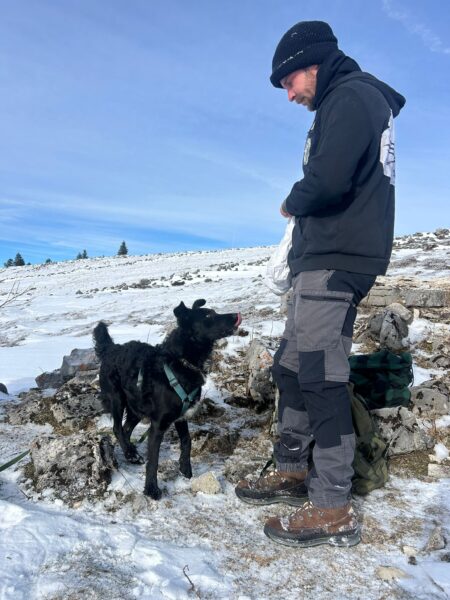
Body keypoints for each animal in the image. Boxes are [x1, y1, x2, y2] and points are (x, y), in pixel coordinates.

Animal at [93, 299, 241, 499]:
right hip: (117, 398)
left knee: (125, 429)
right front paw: (151, 489)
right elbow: (153, 460)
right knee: (117, 428)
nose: (236, 315)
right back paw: (131, 454)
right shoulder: (158, 424)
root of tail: (111, 348)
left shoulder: (181, 415)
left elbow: (187, 441)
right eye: (208, 315)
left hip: (136, 407)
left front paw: (185, 468)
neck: (180, 361)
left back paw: (131, 454)